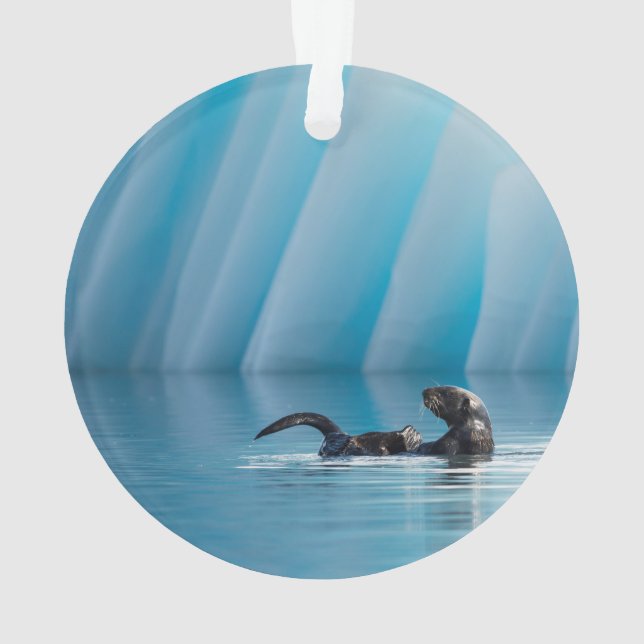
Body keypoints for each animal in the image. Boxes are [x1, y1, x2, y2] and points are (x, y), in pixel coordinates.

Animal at [253, 386, 493, 457]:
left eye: (444, 392)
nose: (425, 390)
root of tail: (337, 434)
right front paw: (413, 435)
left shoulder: (450, 443)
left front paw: (412, 436)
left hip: (341, 445)